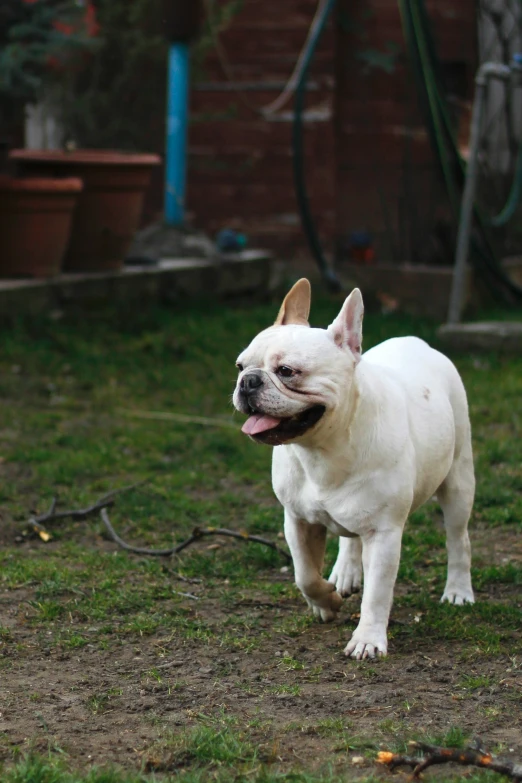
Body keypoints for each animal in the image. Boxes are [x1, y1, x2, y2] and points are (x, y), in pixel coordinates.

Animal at [232, 278, 472, 660]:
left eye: (287, 371)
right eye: (241, 366)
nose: (249, 381)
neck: (322, 449)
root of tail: (416, 341)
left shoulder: (384, 534)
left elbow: (377, 593)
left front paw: (368, 639)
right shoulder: (297, 521)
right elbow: (305, 575)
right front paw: (326, 602)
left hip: (458, 482)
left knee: (457, 538)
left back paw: (459, 591)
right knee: (348, 538)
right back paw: (345, 571)